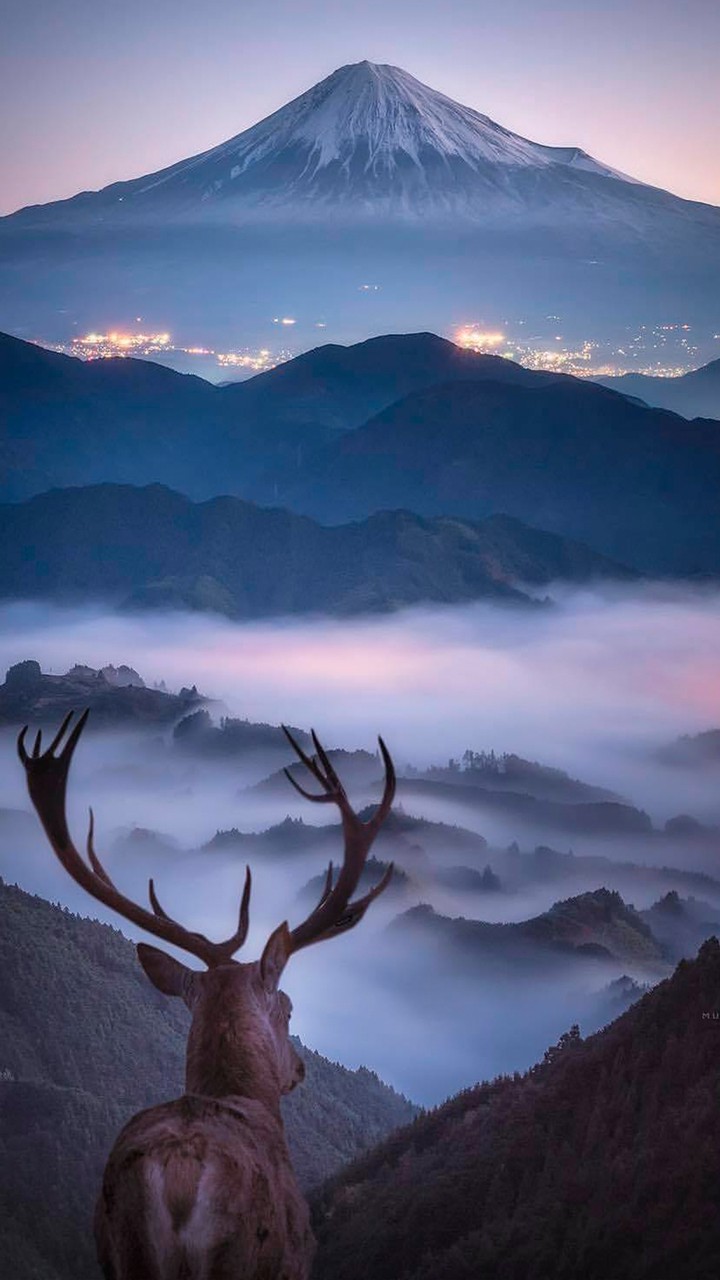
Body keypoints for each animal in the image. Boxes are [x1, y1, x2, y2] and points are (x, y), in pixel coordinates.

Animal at [17, 710, 396, 1280]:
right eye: (288, 1008)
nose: (299, 1069)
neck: (239, 1094)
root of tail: (178, 1174)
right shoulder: (297, 1258)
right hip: (239, 1256)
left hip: (124, 1251)